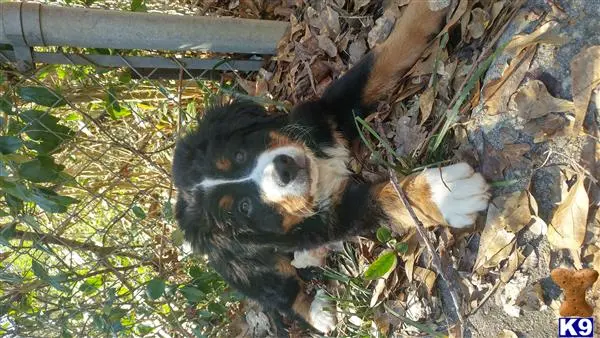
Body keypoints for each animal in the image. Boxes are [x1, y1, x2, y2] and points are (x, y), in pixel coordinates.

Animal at [171, 0, 490, 332]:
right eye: (244, 207)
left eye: (239, 154)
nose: (284, 169)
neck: (317, 166)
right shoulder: (331, 218)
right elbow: (384, 199)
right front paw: (443, 193)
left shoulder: (325, 112)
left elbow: (377, 63)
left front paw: (425, 12)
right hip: (249, 269)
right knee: (282, 292)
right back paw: (318, 312)